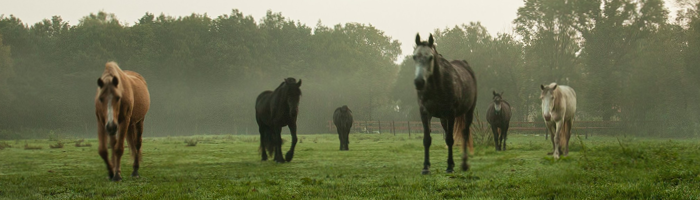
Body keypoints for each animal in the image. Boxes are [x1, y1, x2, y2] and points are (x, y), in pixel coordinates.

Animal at [412, 32, 478, 173]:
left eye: (430, 57)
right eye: (414, 57)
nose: (419, 82)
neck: (437, 86)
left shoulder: (451, 113)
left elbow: (450, 139)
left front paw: (449, 166)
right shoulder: (424, 112)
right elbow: (427, 139)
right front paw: (425, 167)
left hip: (468, 112)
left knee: (464, 133)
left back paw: (464, 164)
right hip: (443, 119)